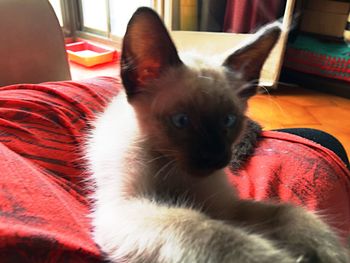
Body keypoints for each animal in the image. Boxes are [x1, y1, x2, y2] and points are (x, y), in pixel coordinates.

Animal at [86, 6, 348, 263]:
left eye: (229, 121)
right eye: (181, 121)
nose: (216, 158)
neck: (176, 174)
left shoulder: (224, 205)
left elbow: (288, 212)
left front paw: (330, 252)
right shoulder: (126, 207)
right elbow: (205, 229)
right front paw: (278, 258)